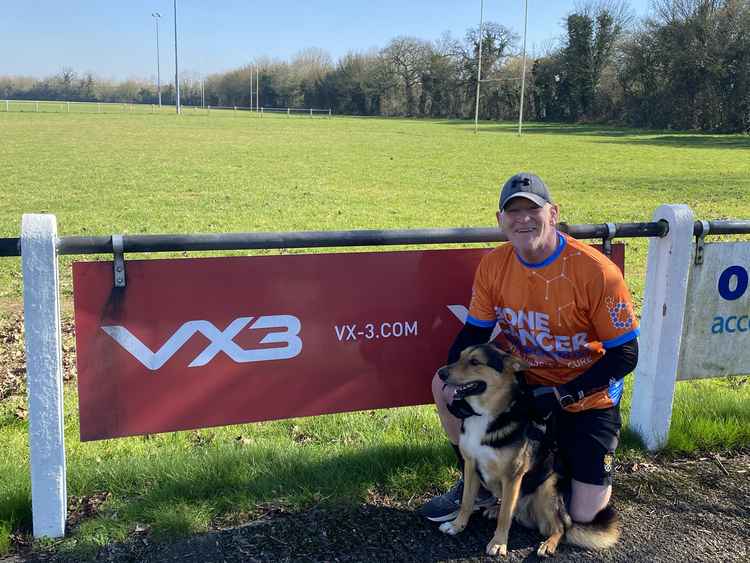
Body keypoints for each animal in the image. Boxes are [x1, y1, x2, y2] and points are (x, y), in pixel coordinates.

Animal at [438, 344, 620, 560]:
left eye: (475, 362)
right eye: (459, 357)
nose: (440, 373)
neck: (485, 415)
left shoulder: (513, 476)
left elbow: (506, 516)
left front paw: (499, 543)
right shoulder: (471, 465)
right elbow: (466, 501)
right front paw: (457, 525)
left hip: (547, 489)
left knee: (559, 528)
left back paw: (548, 543)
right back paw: (495, 509)